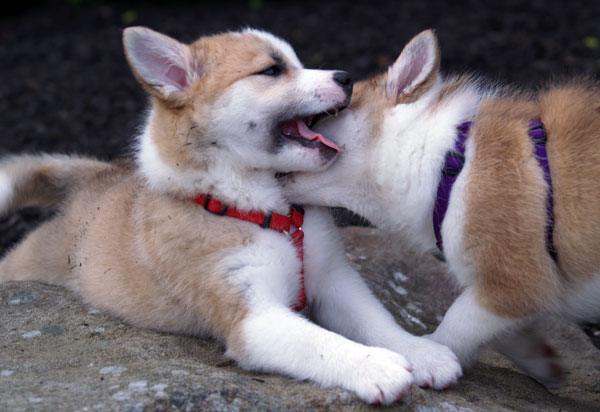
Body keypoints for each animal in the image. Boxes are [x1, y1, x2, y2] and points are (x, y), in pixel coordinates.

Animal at [0, 27, 462, 404]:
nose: (346, 77)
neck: (264, 210)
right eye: (272, 70)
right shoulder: (252, 317)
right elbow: (318, 342)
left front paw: (421, 352)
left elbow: (375, 319)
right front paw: (375, 366)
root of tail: (95, 177)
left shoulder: (334, 279)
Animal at [282, 29, 600, 390]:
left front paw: (431, 358)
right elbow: (503, 331)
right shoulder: (522, 292)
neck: (449, 164)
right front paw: (542, 360)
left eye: (316, 120)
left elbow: (456, 324)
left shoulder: (516, 280)